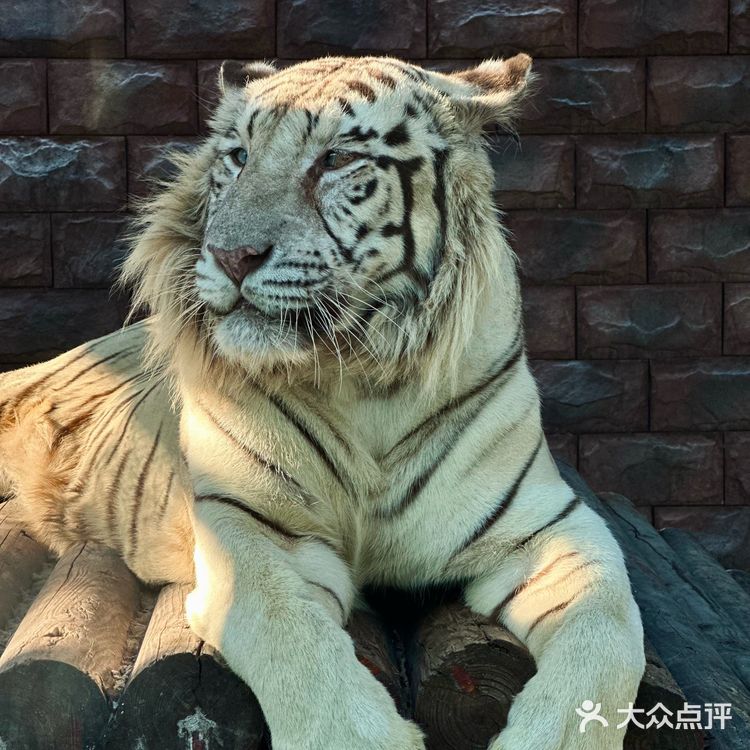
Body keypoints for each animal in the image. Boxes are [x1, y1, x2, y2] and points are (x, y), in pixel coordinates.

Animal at [0, 54, 645, 750]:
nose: (230, 255)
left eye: (336, 159)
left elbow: (610, 634)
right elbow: (290, 636)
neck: (368, 380)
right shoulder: (251, 529)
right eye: (238, 156)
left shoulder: (550, 526)